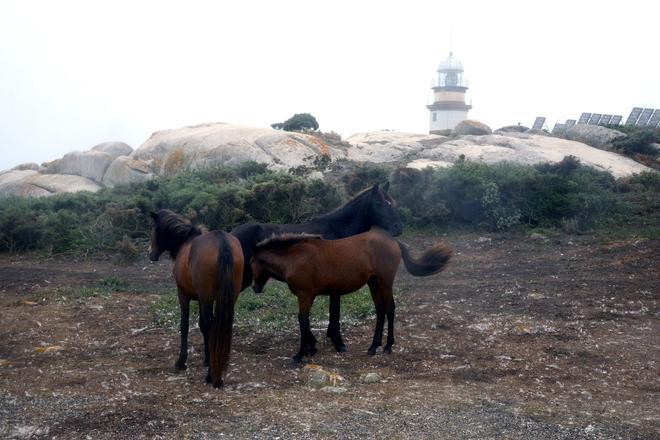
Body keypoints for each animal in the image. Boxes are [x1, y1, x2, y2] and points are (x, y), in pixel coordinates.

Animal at [148, 208, 244, 386]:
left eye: (152, 228)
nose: (151, 254)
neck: (186, 242)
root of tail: (222, 242)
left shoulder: (184, 295)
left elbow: (185, 325)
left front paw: (181, 361)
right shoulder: (201, 299)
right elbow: (202, 326)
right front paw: (207, 358)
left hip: (206, 299)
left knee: (212, 327)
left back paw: (212, 375)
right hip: (227, 299)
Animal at [232, 183, 402, 354]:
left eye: (392, 203)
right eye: (379, 203)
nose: (398, 227)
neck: (337, 230)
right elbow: (334, 312)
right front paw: (338, 341)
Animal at [250, 229, 452, 362]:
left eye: (251, 262)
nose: (255, 287)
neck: (296, 257)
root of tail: (393, 241)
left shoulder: (304, 295)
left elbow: (302, 320)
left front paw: (300, 354)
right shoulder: (310, 296)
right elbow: (305, 321)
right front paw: (312, 347)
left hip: (385, 281)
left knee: (390, 309)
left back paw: (387, 346)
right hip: (373, 283)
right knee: (380, 310)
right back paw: (373, 347)